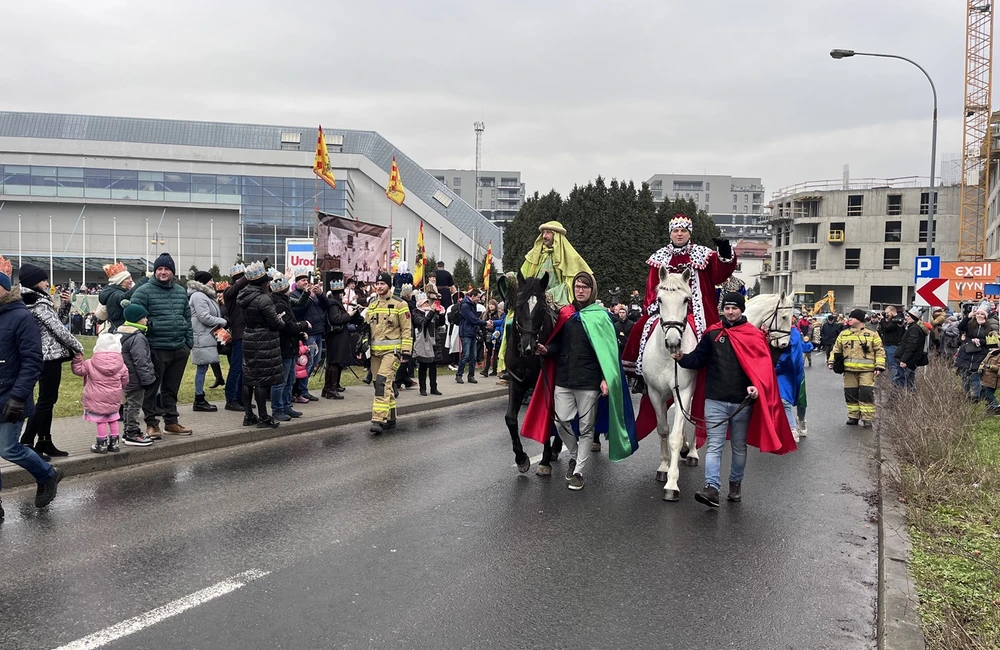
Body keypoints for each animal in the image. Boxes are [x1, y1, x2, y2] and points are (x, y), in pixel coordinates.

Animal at [500, 270, 564, 474]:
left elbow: (547, 418)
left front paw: (544, 460)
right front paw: (521, 458)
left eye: (542, 309)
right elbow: (510, 419)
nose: (528, 348)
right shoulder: (516, 382)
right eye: (518, 306)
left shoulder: (545, 385)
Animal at [636, 268, 700, 502]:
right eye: (660, 300)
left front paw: (672, 483)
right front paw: (663, 468)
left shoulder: (684, 390)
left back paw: (691, 452)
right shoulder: (655, 393)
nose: (673, 343)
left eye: (686, 300)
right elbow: (663, 429)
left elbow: (675, 436)